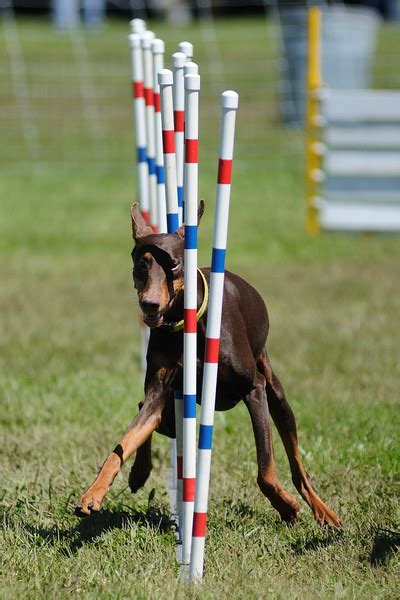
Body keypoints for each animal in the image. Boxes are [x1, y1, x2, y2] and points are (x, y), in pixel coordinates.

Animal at [76, 204, 340, 528]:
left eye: (174, 265)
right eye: (141, 264)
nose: (149, 304)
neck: (182, 321)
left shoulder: (253, 390)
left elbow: (265, 470)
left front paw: (287, 507)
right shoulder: (160, 391)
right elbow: (122, 444)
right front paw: (92, 494)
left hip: (275, 395)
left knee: (298, 465)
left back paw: (323, 511)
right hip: (174, 416)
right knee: (144, 412)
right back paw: (139, 472)